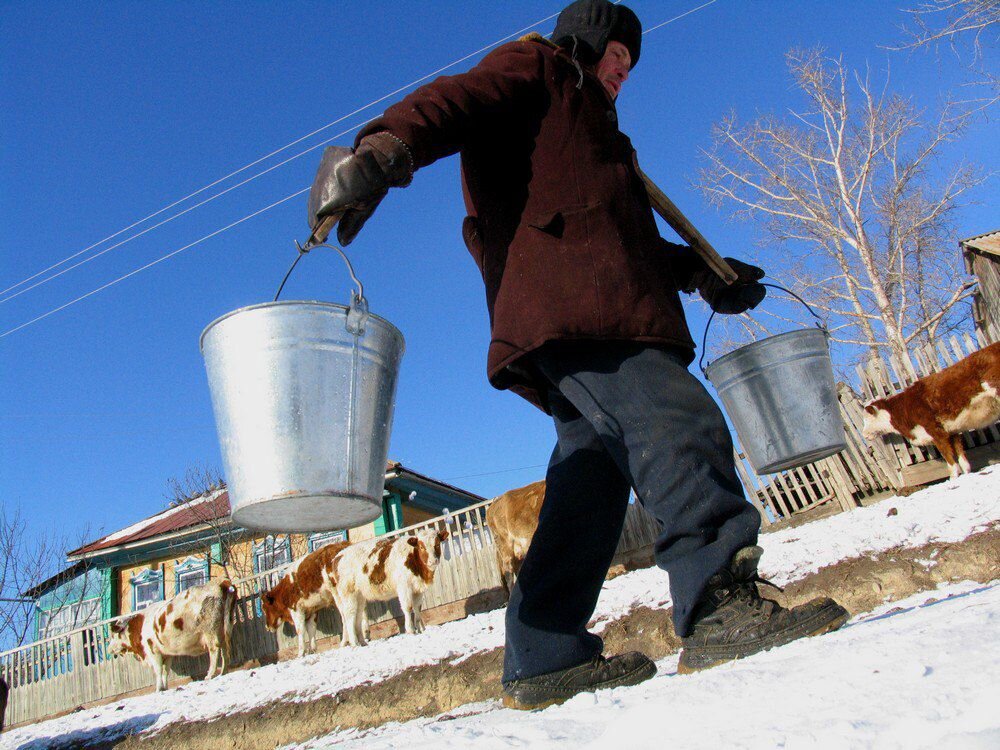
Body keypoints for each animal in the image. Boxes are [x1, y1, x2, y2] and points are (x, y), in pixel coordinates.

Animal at [108, 580, 238, 692]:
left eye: (113, 636)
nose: (109, 649)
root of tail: (220, 583)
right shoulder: (167, 653)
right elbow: (166, 671)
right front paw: (165, 687)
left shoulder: (153, 651)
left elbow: (158, 670)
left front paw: (158, 689)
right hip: (223, 629)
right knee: (224, 649)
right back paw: (224, 671)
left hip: (210, 631)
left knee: (214, 650)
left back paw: (210, 674)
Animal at [860, 342, 1000, 478]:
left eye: (867, 419)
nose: (864, 434)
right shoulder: (952, 432)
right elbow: (962, 458)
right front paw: (967, 475)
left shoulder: (936, 432)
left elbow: (950, 462)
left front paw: (953, 479)